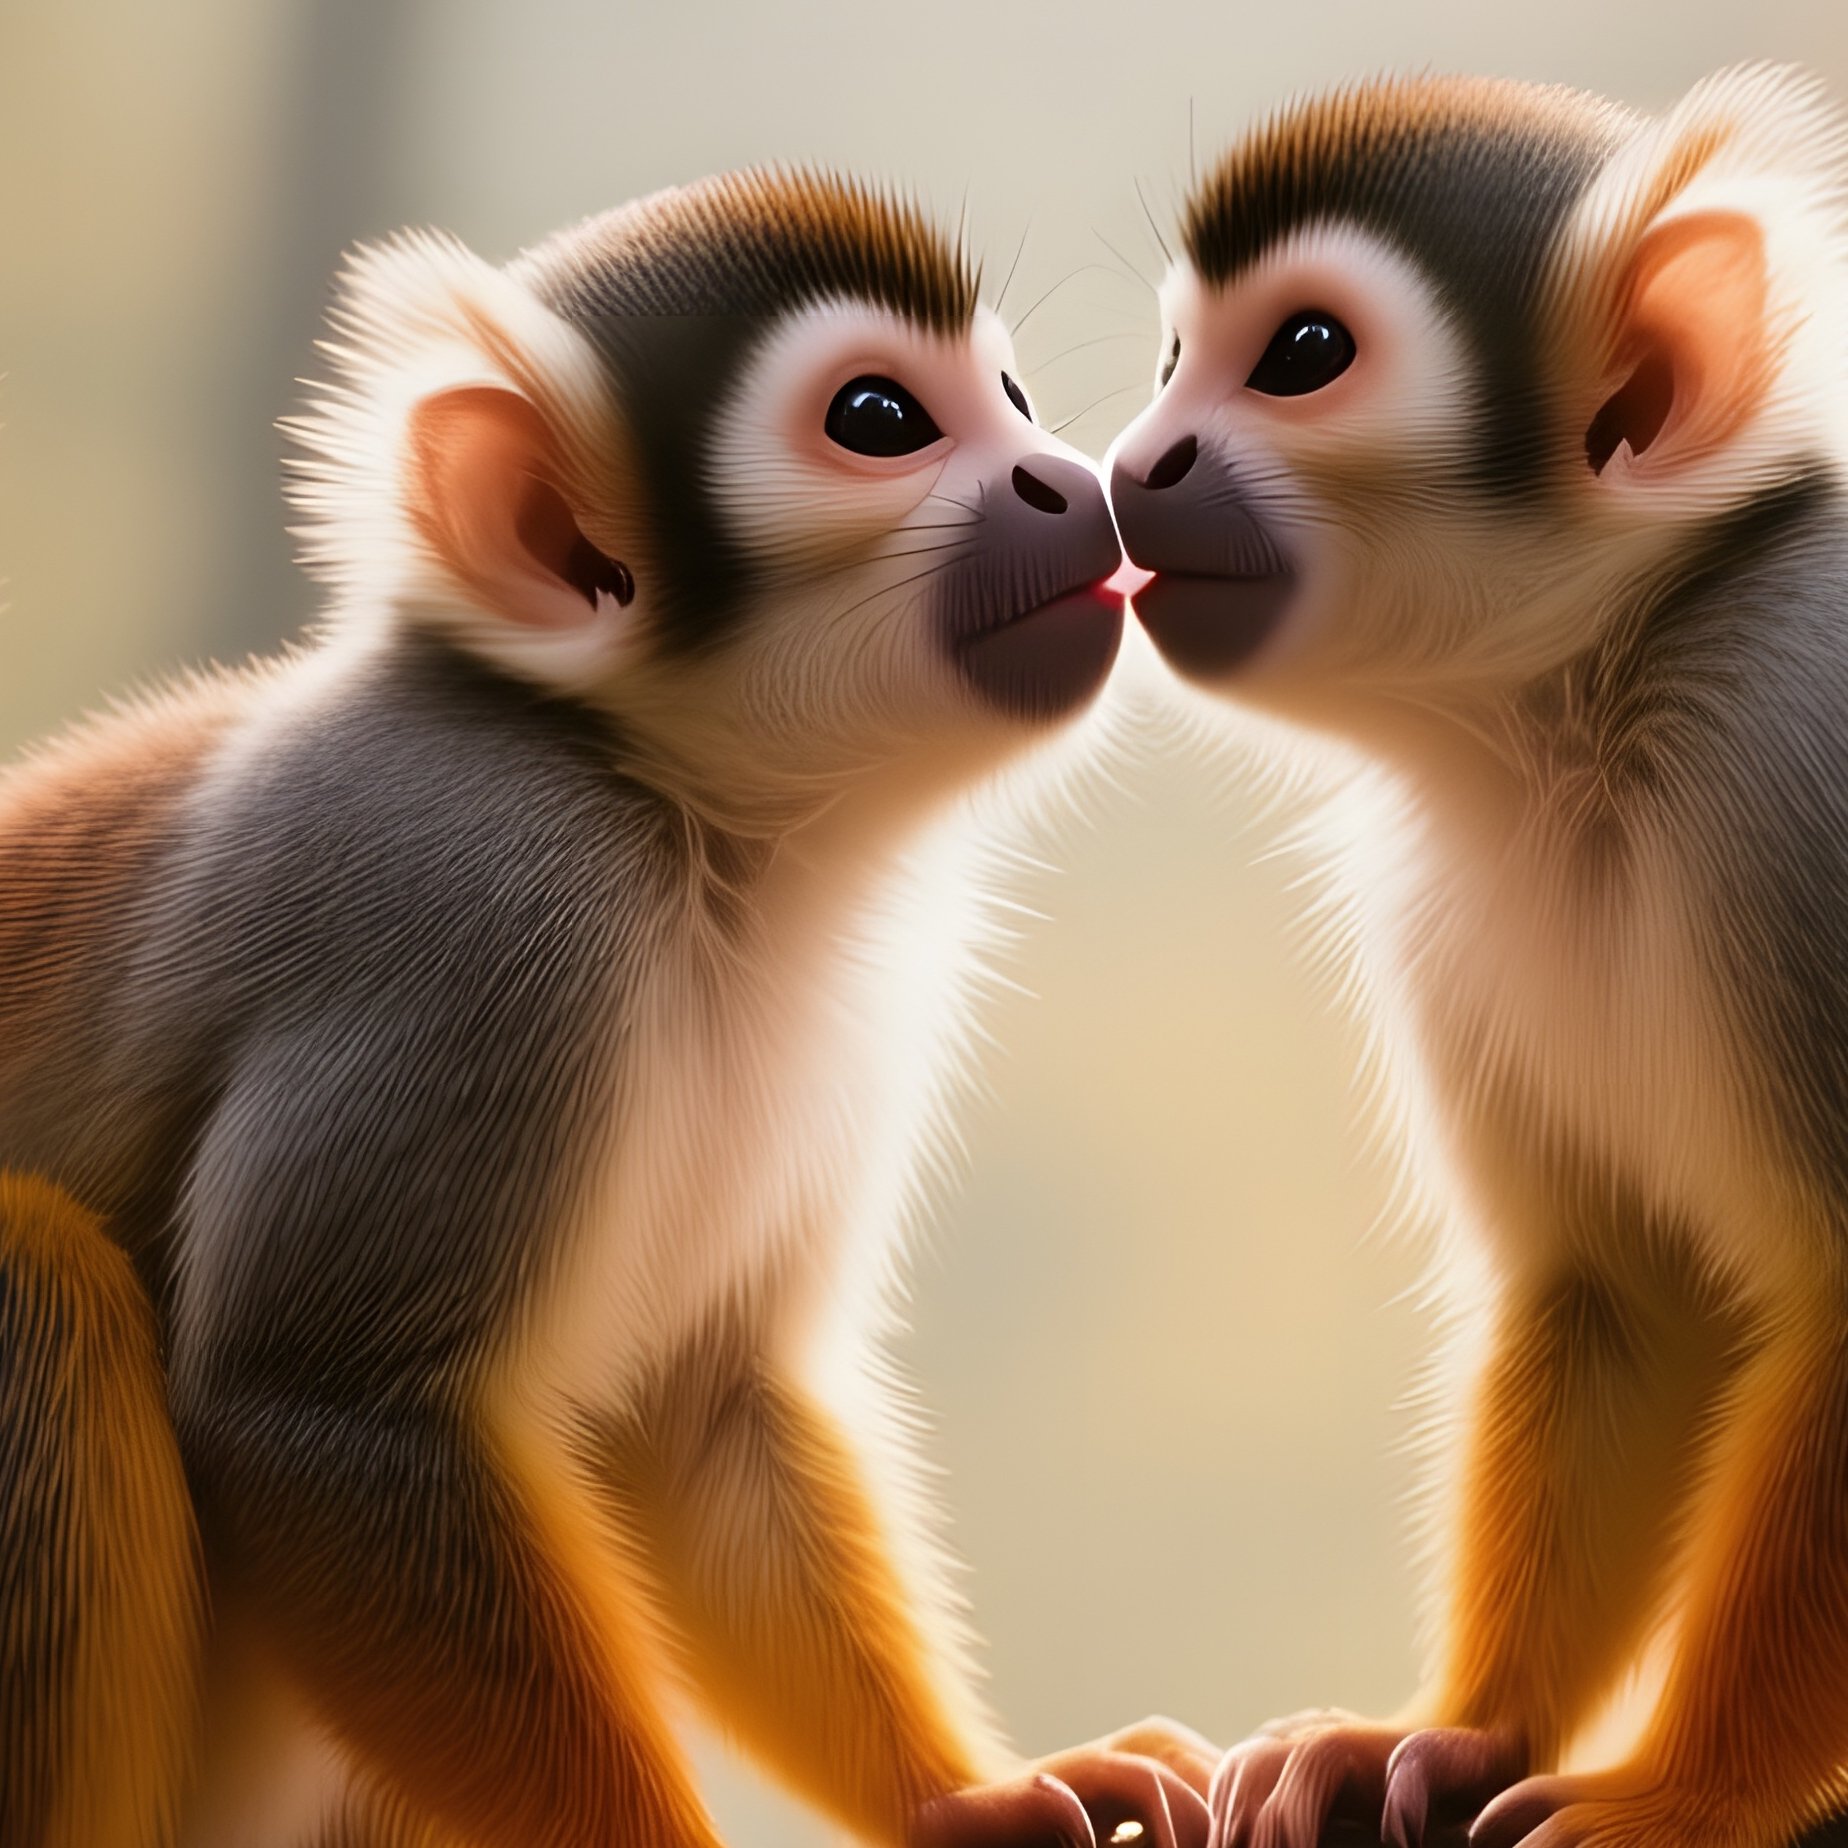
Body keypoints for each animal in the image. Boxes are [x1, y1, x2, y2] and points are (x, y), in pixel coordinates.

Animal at [0, 168, 1220, 1848]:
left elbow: (705, 1413)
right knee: (41, 1276)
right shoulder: (479, 901)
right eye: (882, 418)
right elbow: (322, 1416)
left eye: (1017, 400)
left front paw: (971, 1798)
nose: (1061, 480)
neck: (684, 815)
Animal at [1105, 64, 1848, 1848]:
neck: (1596, 706)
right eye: (1171, 362)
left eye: (1303, 353)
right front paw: (1450, 1735)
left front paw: (1689, 1793)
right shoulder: (1441, 892)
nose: (1131, 461)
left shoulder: (1787, 754)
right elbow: (1625, 1289)